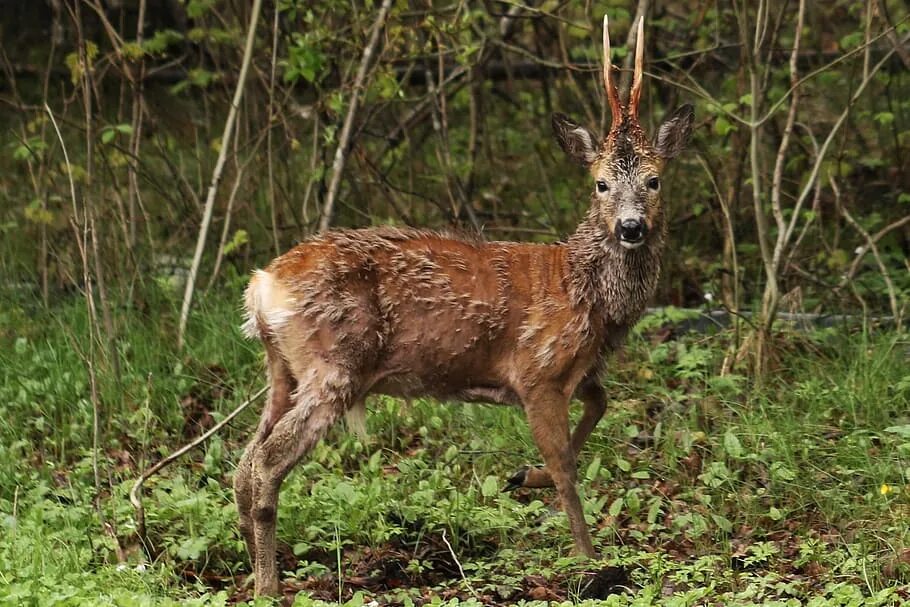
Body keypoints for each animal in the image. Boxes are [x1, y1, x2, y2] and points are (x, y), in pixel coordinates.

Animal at [237, 15, 700, 600]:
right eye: (600, 183)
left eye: (654, 180)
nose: (631, 227)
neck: (589, 296)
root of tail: (262, 285)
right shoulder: (537, 370)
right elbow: (566, 464)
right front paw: (588, 558)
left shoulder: (579, 370)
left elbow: (600, 405)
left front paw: (525, 477)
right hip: (332, 365)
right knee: (266, 461)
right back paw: (267, 586)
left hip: (282, 368)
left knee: (243, 461)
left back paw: (250, 562)